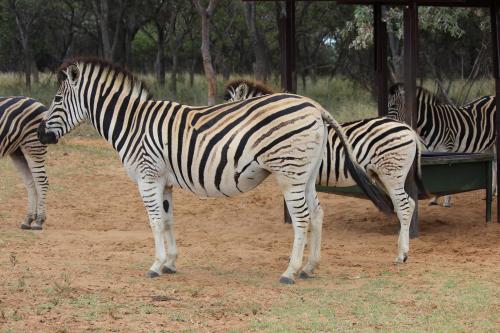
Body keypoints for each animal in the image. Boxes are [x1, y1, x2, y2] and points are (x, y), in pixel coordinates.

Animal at [0, 97, 48, 230]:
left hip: (33, 146)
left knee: (42, 181)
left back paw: (39, 221)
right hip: (18, 151)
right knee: (31, 182)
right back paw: (29, 219)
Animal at [38, 57, 390, 282]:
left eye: (56, 99)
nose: (41, 135)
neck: (133, 124)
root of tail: (315, 106)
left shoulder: (148, 176)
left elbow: (154, 222)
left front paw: (155, 264)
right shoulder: (164, 181)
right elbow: (168, 220)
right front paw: (170, 263)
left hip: (289, 174)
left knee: (302, 218)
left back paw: (290, 272)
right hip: (306, 174)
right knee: (317, 214)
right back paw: (309, 268)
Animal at [225, 79, 428, 264]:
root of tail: (408, 128)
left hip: (392, 174)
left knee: (404, 206)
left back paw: (401, 255)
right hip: (383, 176)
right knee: (408, 203)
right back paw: (403, 251)